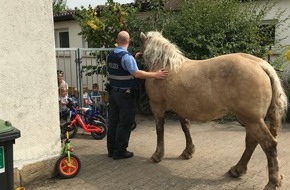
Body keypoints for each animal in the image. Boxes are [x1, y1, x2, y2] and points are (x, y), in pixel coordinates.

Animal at [138, 31, 288, 190]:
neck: (165, 67)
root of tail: (261, 65)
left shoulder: (157, 107)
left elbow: (160, 130)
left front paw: (157, 155)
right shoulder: (181, 109)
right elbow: (185, 127)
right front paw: (188, 151)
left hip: (252, 119)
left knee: (268, 144)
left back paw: (272, 182)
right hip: (250, 120)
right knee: (251, 142)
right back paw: (237, 169)